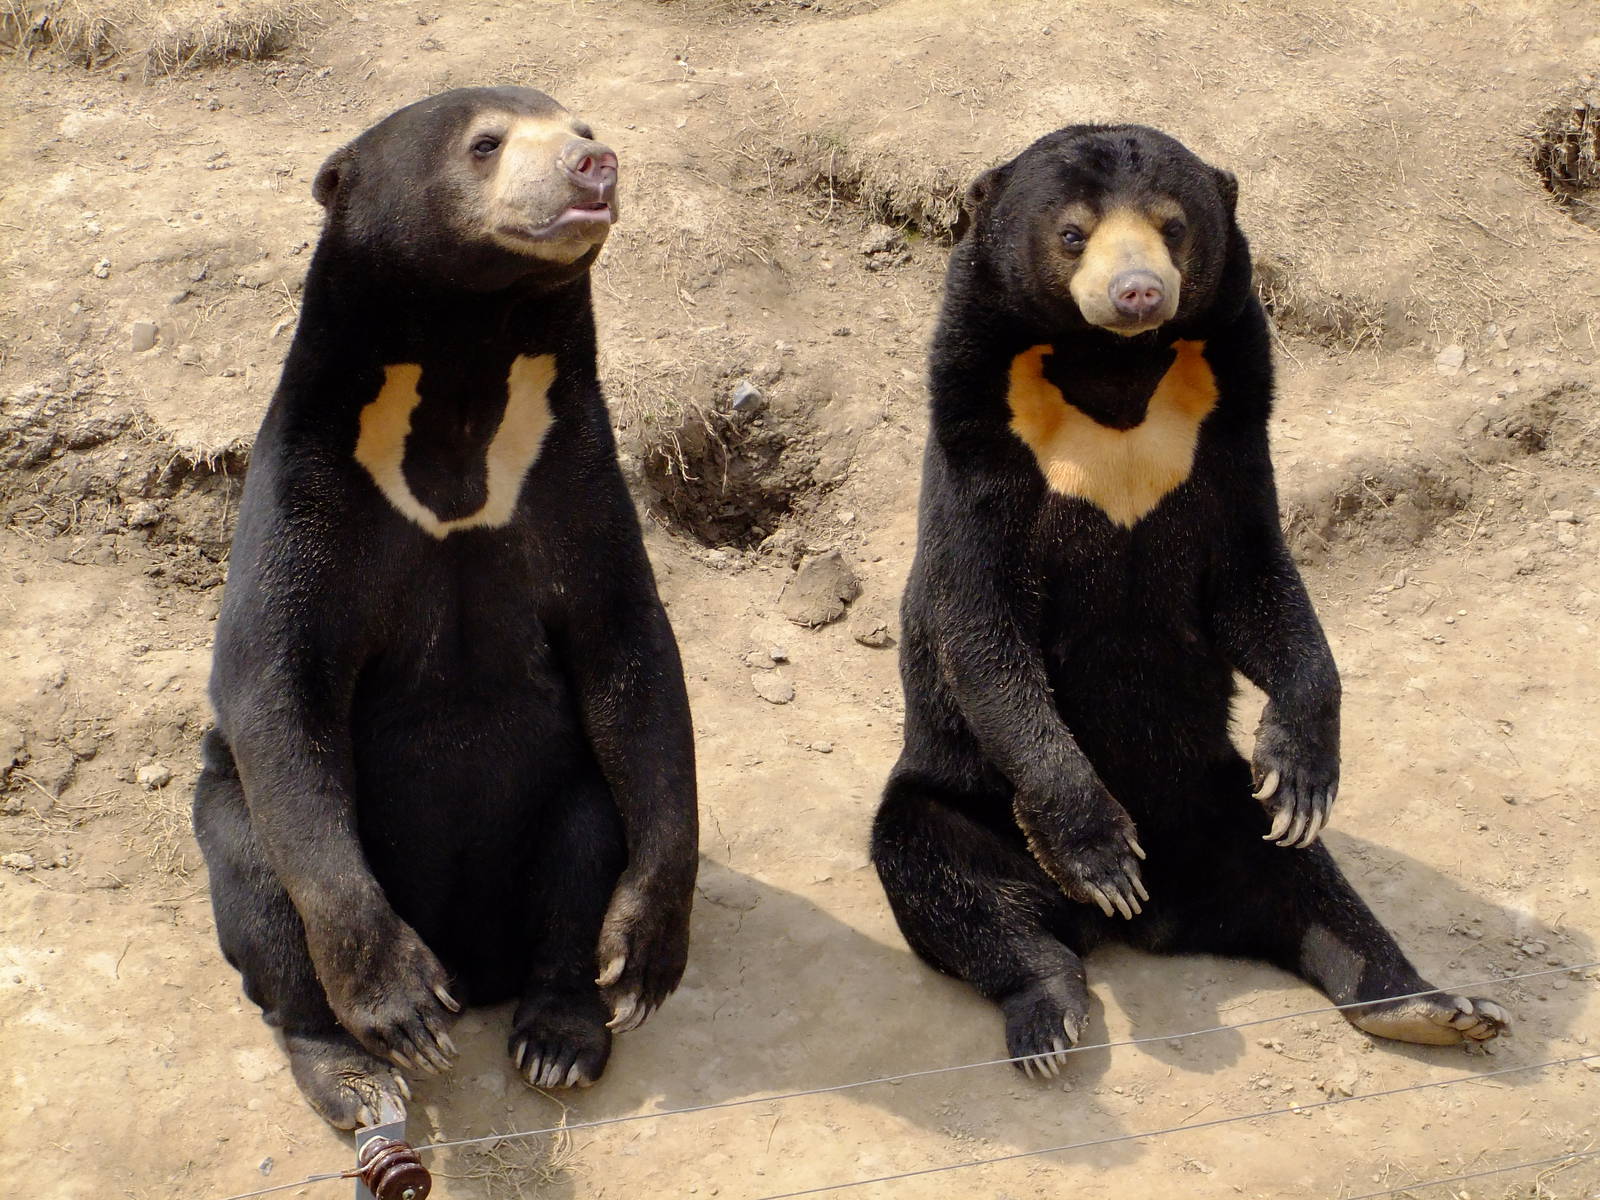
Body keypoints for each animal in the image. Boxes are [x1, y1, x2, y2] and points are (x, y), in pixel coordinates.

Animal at [192, 87, 698, 1129]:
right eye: (486, 143)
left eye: (583, 127)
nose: (597, 167)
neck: (469, 364)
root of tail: (480, 968)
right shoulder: (313, 481)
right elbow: (274, 678)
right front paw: (400, 1003)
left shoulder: (569, 472)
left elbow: (630, 651)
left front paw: (644, 957)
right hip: (229, 808)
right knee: (257, 882)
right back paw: (355, 1069)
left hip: (559, 805)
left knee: (585, 832)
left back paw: (561, 1032)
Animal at [870, 124, 1509, 1076]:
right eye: (1073, 233)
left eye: (1172, 227)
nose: (1138, 291)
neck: (1117, 371)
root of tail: (1158, 918)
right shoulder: (978, 441)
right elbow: (982, 629)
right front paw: (1100, 854)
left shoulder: (1229, 427)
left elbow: (1258, 587)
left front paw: (1304, 769)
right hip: (960, 798)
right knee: (945, 876)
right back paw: (1051, 1009)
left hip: (1218, 800)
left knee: (1304, 881)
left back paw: (1433, 1005)